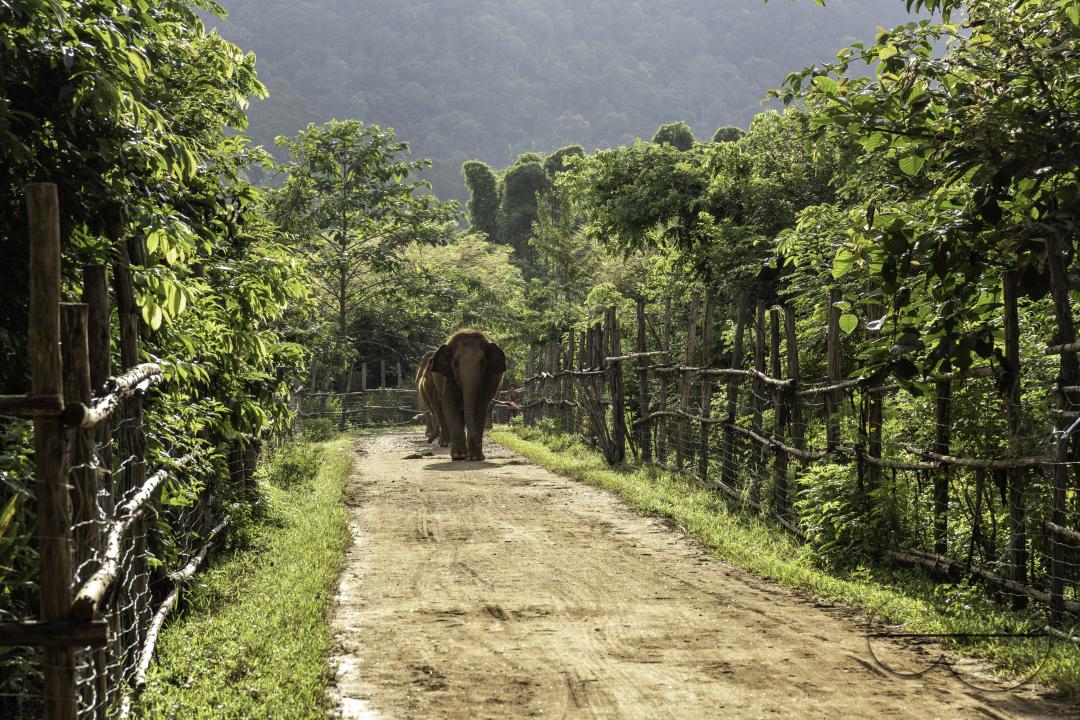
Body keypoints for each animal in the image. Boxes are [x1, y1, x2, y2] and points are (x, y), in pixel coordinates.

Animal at [429, 329, 506, 461]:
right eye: (455, 362)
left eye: (483, 362)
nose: (478, 441)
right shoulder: (448, 379)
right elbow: (449, 405)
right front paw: (458, 456)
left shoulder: (487, 380)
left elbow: (480, 406)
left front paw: (475, 457)